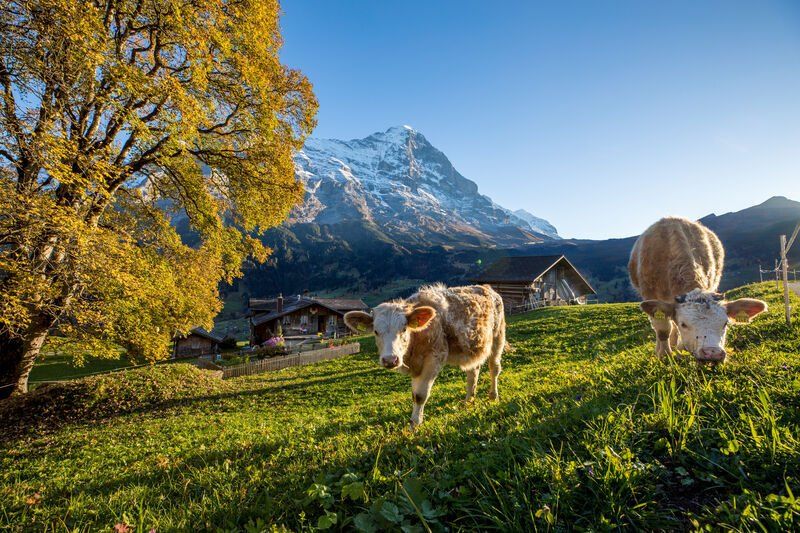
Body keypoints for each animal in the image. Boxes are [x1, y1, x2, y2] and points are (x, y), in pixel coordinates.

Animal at [344, 284, 506, 428]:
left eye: (404, 329)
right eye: (376, 331)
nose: (390, 360)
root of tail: (486, 287)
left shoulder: (433, 359)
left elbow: (420, 395)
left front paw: (415, 424)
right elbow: (414, 395)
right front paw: (413, 423)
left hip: (498, 337)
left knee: (494, 368)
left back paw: (493, 396)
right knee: (473, 372)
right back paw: (469, 400)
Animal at [628, 216, 767, 363]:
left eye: (725, 323)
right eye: (684, 324)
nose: (712, 352)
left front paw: (678, 350)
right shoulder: (650, 295)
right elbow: (663, 330)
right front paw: (664, 355)